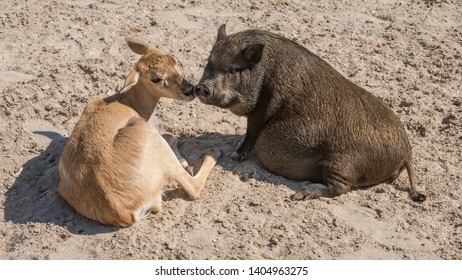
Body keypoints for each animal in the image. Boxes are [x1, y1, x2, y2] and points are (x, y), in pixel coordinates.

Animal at [195, 24, 426, 201]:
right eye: (208, 62)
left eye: (233, 70)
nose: (201, 88)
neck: (264, 71)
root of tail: (407, 150)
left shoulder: (259, 111)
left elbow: (250, 134)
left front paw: (234, 157)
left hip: (343, 161)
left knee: (342, 188)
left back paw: (299, 195)